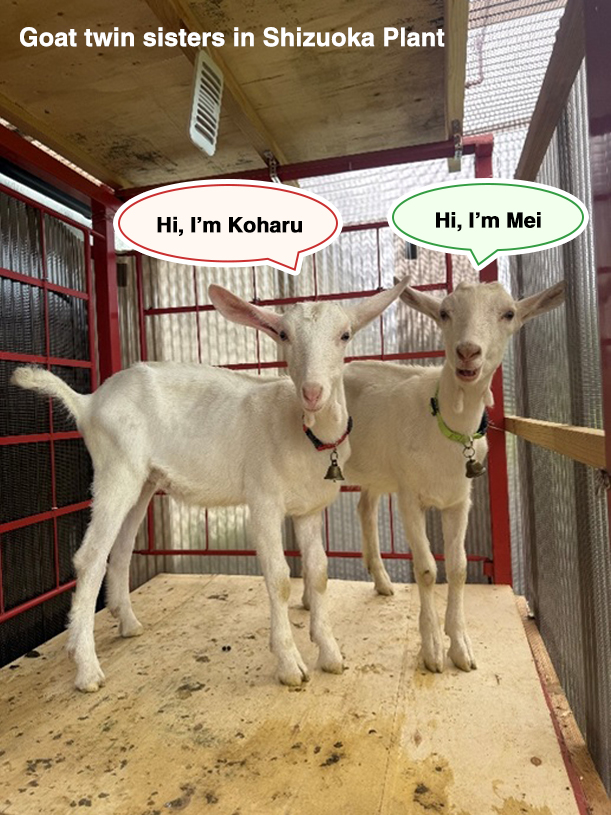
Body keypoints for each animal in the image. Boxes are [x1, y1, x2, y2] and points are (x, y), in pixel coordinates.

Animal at [12, 279, 408, 692]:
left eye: (345, 335)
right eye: (283, 334)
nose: (313, 392)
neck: (305, 433)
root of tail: (87, 403)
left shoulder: (309, 510)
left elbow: (318, 575)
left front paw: (330, 654)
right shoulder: (263, 501)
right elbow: (280, 578)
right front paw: (289, 664)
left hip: (143, 481)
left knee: (119, 550)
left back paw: (129, 623)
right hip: (116, 469)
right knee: (89, 558)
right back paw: (86, 667)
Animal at [340, 280, 565, 672]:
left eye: (509, 313)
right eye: (444, 312)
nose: (468, 352)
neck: (444, 425)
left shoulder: (460, 500)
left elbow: (458, 567)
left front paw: (460, 647)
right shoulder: (410, 498)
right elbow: (427, 569)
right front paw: (432, 650)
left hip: (378, 471)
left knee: (364, 508)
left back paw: (382, 582)